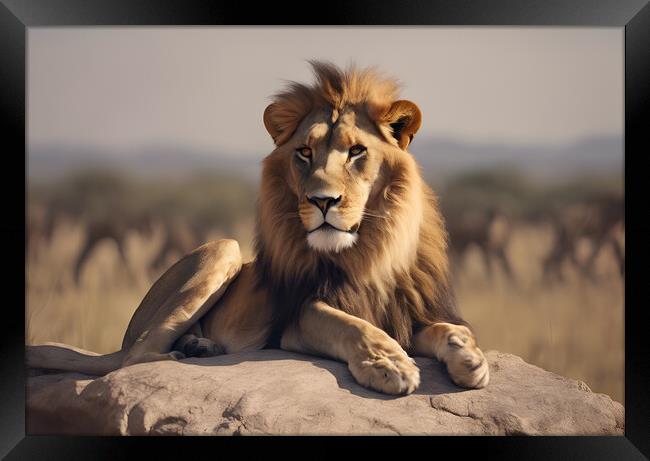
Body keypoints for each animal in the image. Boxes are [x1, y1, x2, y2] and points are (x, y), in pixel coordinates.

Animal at [27, 60, 488, 392]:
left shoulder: (410, 313)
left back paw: (199, 345)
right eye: (304, 152)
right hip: (224, 248)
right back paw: (183, 354)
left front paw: (469, 356)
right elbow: (349, 324)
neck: (368, 253)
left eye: (357, 151)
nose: (322, 201)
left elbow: (448, 328)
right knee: (130, 359)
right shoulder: (294, 317)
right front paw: (387, 363)